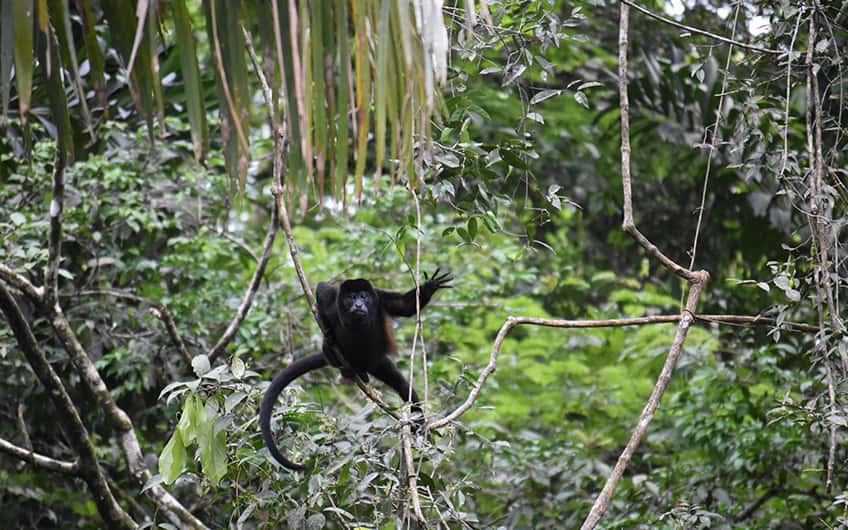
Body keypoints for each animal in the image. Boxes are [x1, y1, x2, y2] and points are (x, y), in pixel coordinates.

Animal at [258, 268, 454, 470]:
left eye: (364, 296)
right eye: (351, 297)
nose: (359, 304)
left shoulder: (380, 298)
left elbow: (405, 305)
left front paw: (430, 286)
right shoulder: (333, 300)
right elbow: (322, 289)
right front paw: (328, 333)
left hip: (378, 362)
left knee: (401, 384)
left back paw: (417, 418)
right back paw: (338, 356)